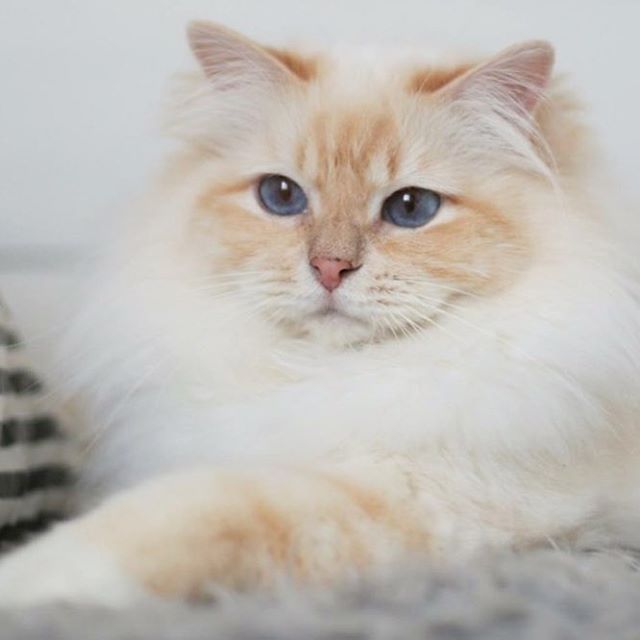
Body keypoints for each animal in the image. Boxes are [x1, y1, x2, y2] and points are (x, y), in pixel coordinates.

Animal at [1, 21, 640, 604]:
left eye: (412, 207)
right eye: (281, 196)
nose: (330, 268)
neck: (320, 374)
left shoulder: (424, 496)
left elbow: (183, 517)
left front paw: (30, 580)